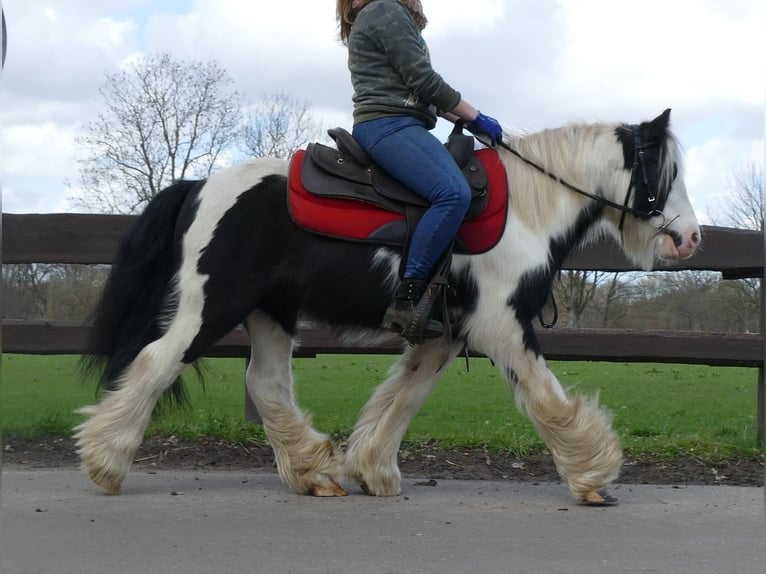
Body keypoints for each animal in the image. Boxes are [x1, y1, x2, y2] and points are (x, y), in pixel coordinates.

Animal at [72, 110, 704, 506]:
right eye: (665, 172)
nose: (691, 238)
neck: (528, 209)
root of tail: (200, 185)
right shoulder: (503, 327)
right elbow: (548, 400)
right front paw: (594, 476)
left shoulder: (443, 334)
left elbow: (404, 396)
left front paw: (371, 468)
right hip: (213, 306)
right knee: (156, 363)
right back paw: (106, 463)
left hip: (270, 311)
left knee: (267, 382)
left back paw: (315, 472)